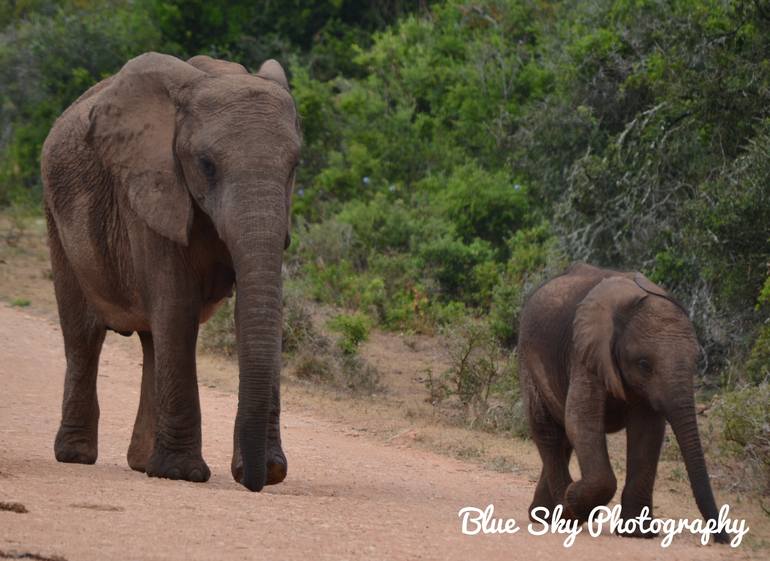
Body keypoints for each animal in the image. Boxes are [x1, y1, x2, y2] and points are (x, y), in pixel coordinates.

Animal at [40, 52, 300, 490]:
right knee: (83, 335)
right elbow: (177, 309)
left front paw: (269, 471)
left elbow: (249, 311)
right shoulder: (151, 189)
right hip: (54, 213)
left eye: (294, 166)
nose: (255, 481)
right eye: (207, 165)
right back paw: (76, 456)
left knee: (151, 340)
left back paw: (142, 463)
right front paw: (183, 474)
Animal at [516, 262, 728, 544]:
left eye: (696, 362)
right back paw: (565, 516)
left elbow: (647, 432)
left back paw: (545, 516)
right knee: (547, 430)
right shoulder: (584, 351)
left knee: (563, 435)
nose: (724, 538)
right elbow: (582, 419)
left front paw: (638, 534)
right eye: (644, 365)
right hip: (528, 357)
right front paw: (578, 506)